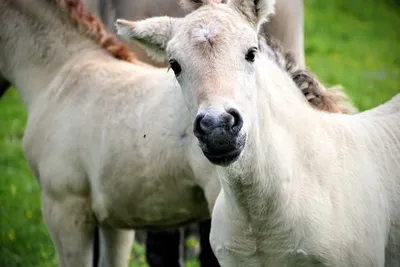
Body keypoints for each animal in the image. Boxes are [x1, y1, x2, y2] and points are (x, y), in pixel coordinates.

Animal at [0, 0, 356, 267]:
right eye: (174, 64)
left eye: (251, 53)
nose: (218, 129)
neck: (61, 73)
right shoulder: (115, 220)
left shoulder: (65, 209)